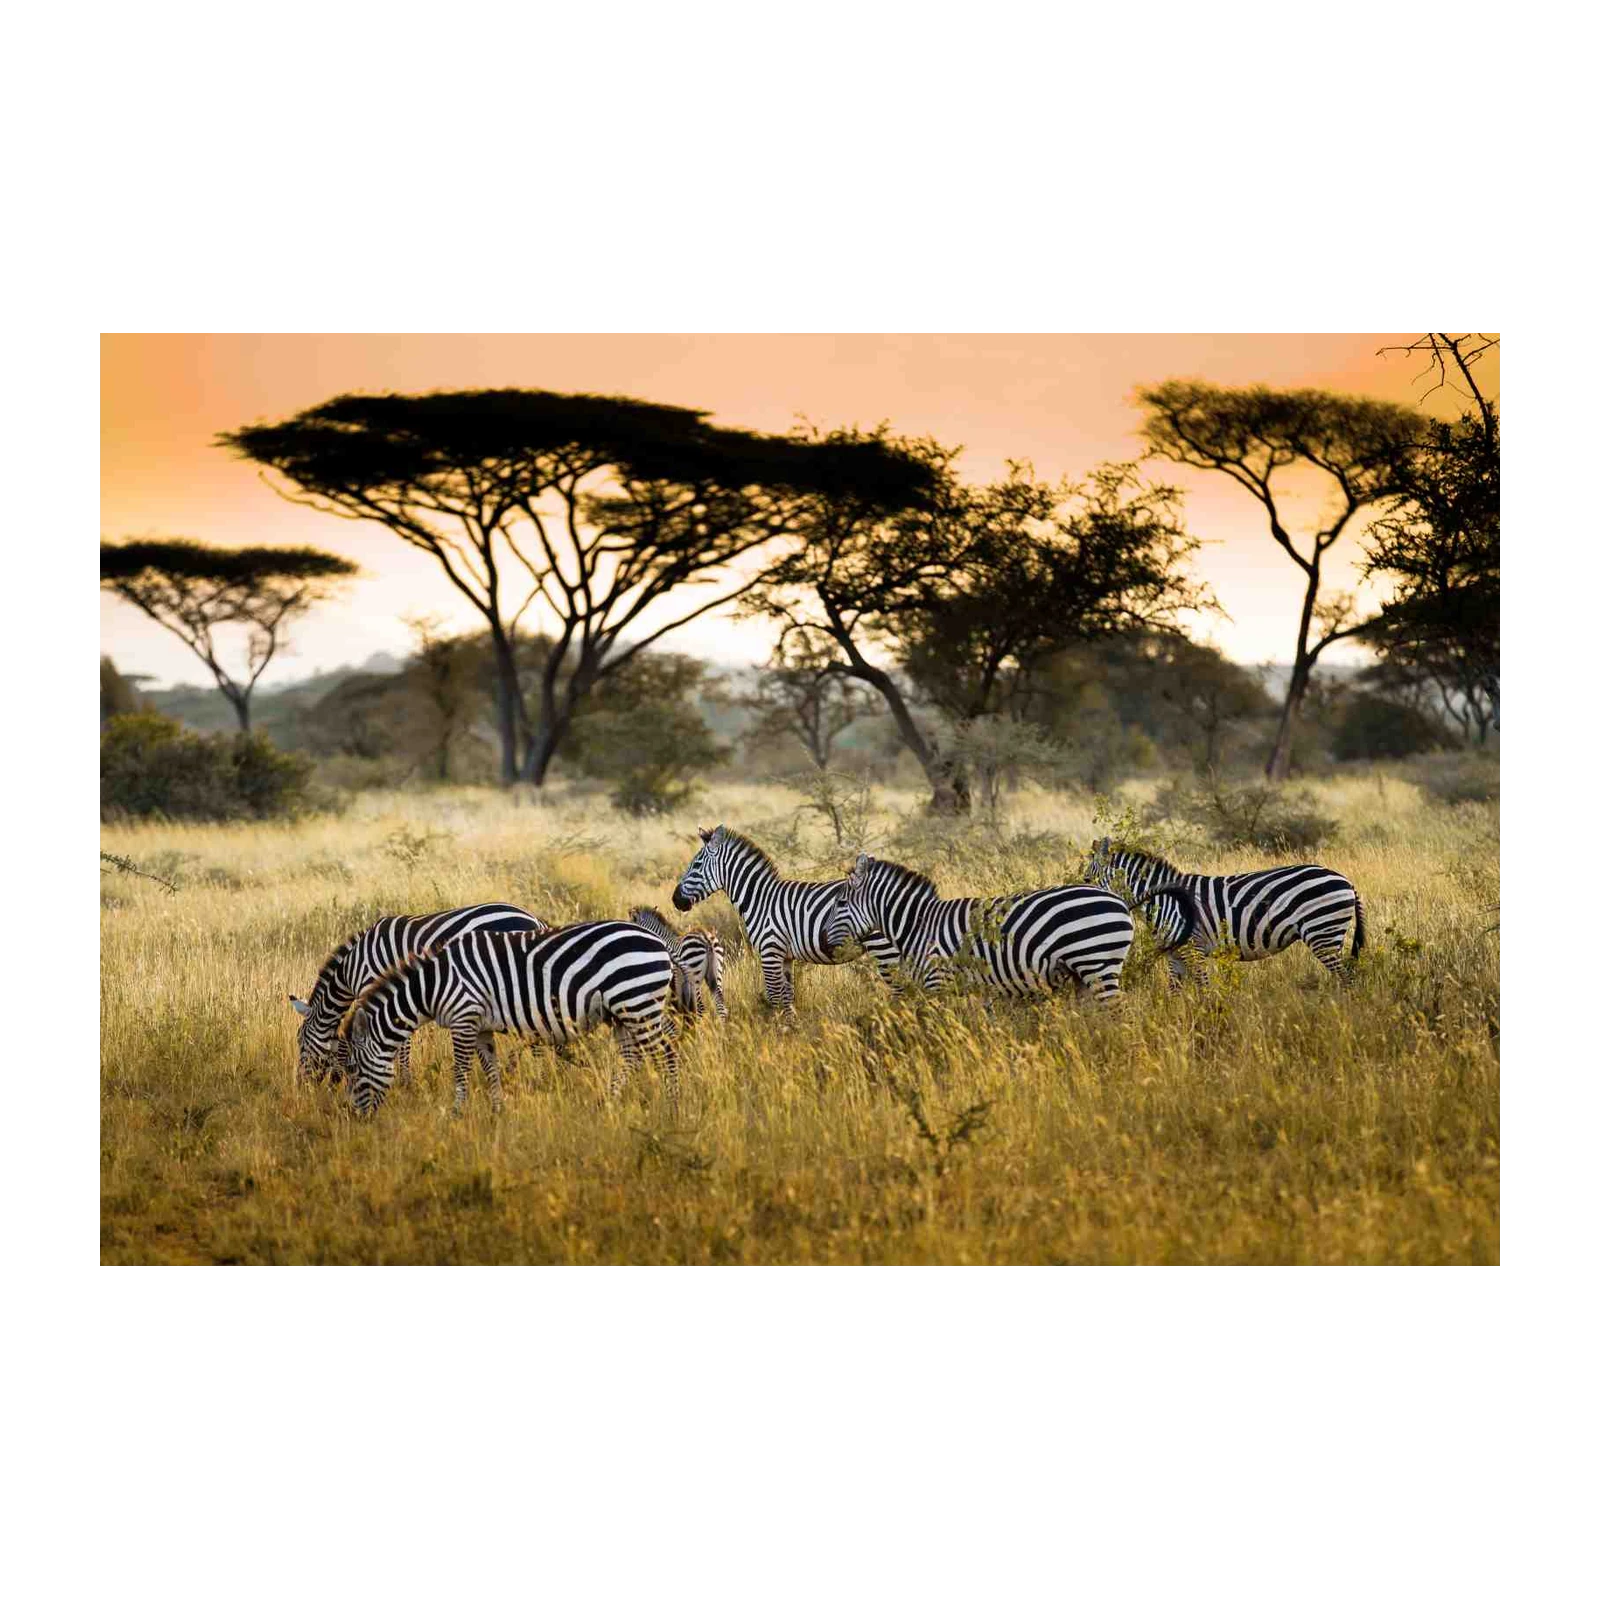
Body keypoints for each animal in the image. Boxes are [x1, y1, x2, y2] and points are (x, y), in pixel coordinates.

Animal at [289, 902, 550, 1085]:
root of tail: (535, 920)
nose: (302, 1085)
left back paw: (537, 1073)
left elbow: (395, 1041)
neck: (351, 968)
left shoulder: (374, 987)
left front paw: (402, 1080)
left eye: (300, 1041)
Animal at [338, 922, 680, 1116]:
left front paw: (456, 1113)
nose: (354, 1117)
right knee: (632, 1057)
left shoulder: (463, 1017)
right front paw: (497, 1111)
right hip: (622, 1012)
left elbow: (461, 1070)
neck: (433, 985)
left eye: (352, 1069)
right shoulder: (479, 1027)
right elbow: (491, 1068)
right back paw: (605, 1103)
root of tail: (657, 940)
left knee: (666, 1053)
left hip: (637, 1002)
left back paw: (671, 1108)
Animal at [671, 825, 901, 1019]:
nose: (674, 899)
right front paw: (791, 1031)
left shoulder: (770, 951)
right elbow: (788, 998)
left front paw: (776, 1034)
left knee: (900, 991)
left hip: (885, 949)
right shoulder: (786, 957)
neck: (760, 899)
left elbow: (774, 997)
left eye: (696, 865)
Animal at [825, 853, 1200, 1010]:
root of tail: (1120, 900)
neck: (918, 925)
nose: (828, 945)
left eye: (840, 902)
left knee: (1118, 1013)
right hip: (1086, 972)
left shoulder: (938, 983)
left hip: (1097, 962)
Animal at [1080, 839, 1366, 985]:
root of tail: (1346, 880)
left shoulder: (1194, 950)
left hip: (1322, 933)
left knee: (1347, 979)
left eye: (1087, 878)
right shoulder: (1174, 955)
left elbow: (1204, 990)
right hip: (1327, 934)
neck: (1163, 900)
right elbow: (1174, 992)